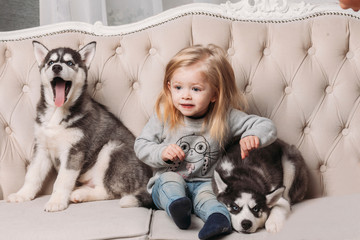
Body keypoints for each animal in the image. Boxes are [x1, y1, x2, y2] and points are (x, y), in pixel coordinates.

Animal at [7, 41, 153, 212]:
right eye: (50, 62)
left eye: (70, 63)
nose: (57, 67)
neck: (57, 113)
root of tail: (148, 180)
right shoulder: (42, 148)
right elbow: (32, 175)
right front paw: (22, 194)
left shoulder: (74, 150)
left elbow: (62, 180)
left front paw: (56, 201)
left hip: (113, 148)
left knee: (109, 191)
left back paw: (81, 194)